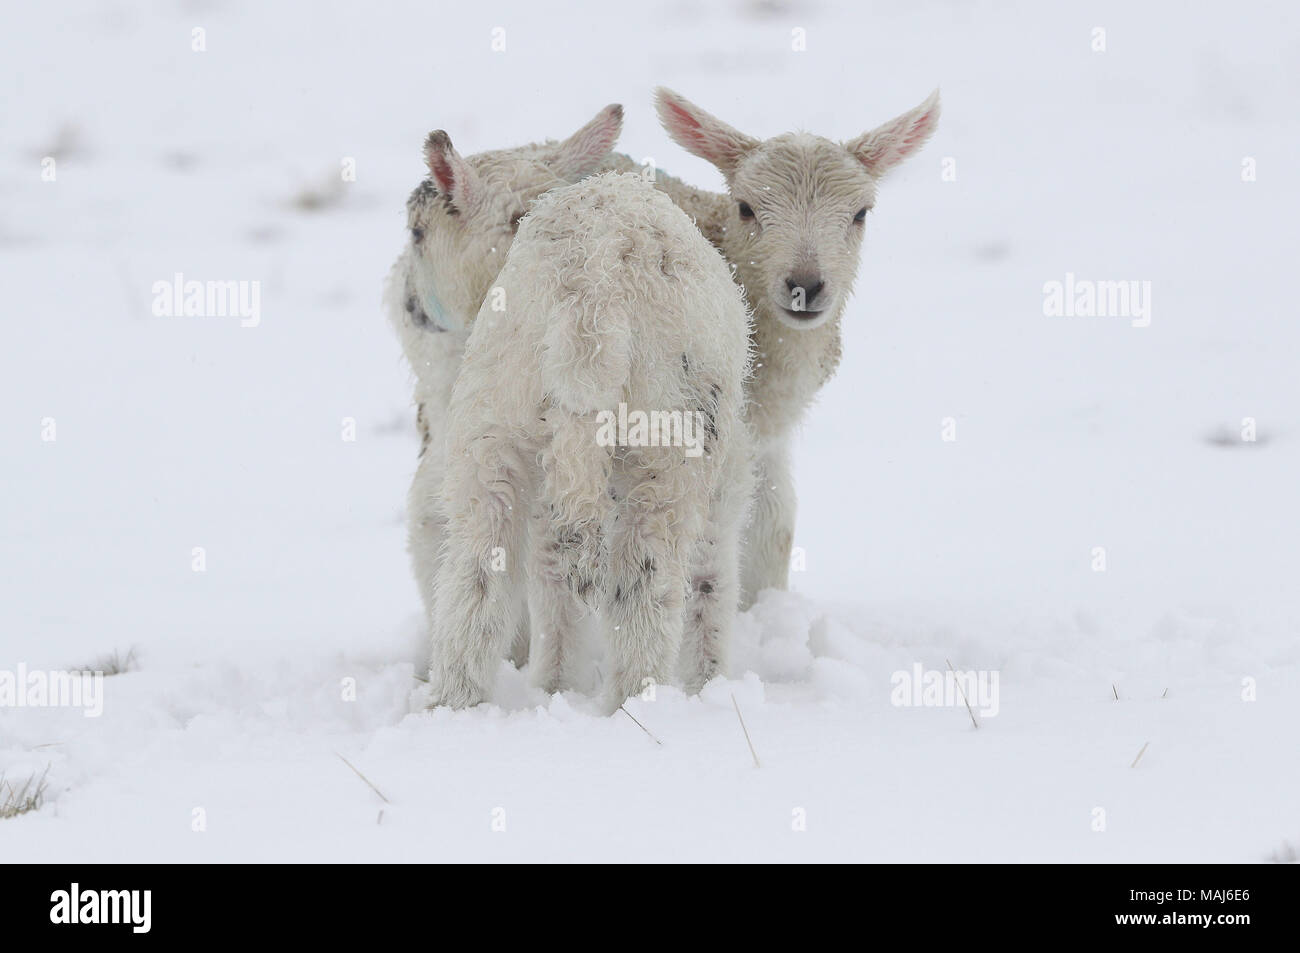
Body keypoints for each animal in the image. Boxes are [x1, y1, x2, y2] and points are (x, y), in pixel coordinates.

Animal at [426, 171, 754, 712]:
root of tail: (592, 283)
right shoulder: (721, 496)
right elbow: (712, 586)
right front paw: (710, 681)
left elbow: (553, 589)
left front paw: (556, 685)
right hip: (667, 439)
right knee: (645, 585)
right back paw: (635, 705)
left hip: (493, 418)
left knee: (477, 575)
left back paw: (455, 705)